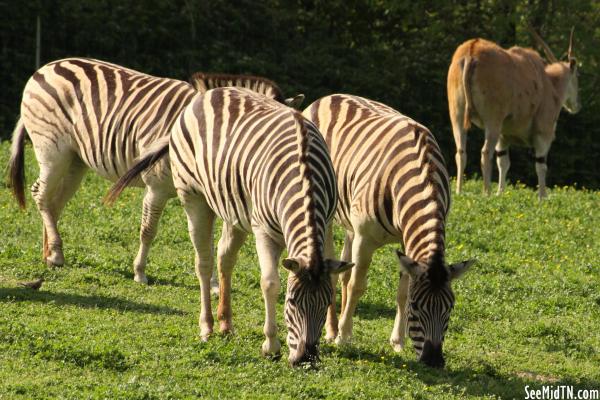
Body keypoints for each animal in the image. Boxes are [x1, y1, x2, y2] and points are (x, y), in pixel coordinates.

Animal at [7, 57, 300, 286]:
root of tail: (46, 67)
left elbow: (207, 242)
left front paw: (214, 284)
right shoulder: (155, 187)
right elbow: (148, 230)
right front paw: (140, 273)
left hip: (74, 161)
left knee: (53, 204)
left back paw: (49, 254)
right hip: (51, 150)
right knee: (40, 194)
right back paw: (56, 253)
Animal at [106, 87, 354, 366]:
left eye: (326, 302)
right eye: (291, 302)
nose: (305, 358)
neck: (306, 178)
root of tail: (210, 92)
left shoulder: (327, 221)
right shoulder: (263, 230)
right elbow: (270, 282)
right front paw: (271, 345)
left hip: (234, 209)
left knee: (224, 256)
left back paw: (225, 323)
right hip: (194, 197)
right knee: (203, 263)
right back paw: (207, 327)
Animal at [302, 94, 476, 368]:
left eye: (450, 308)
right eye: (417, 308)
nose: (434, 361)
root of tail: (328, 97)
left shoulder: (406, 242)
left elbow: (401, 291)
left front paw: (398, 342)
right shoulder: (366, 238)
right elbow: (358, 286)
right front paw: (344, 337)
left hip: (350, 221)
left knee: (343, 270)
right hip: (328, 212)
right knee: (335, 273)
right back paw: (332, 331)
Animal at [446, 27, 580, 198]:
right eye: (578, 76)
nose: (577, 105)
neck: (549, 82)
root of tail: (471, 51)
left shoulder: (503, 137)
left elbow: (503, 162)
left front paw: (500, 192)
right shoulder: (543, 134)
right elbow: (541, 165)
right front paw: (543, 197)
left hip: (457, 118)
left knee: (461, 152)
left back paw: (459, 191)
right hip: (492, 122)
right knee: (485, 153)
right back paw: (486, 192)